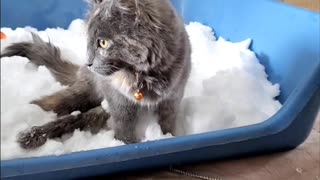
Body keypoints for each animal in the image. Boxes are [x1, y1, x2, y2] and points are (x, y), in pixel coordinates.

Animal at [1, 0, 190, 149]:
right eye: (89, 41)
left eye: (103, 43)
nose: (89, 62)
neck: (142, 74)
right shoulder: (118, 99)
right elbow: (124, 125)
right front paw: (125, 144)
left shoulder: (173, 96)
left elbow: (167, 121)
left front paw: (167, 137)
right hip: (84, 91)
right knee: (51, 104)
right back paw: (29, 129)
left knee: (80, 117)